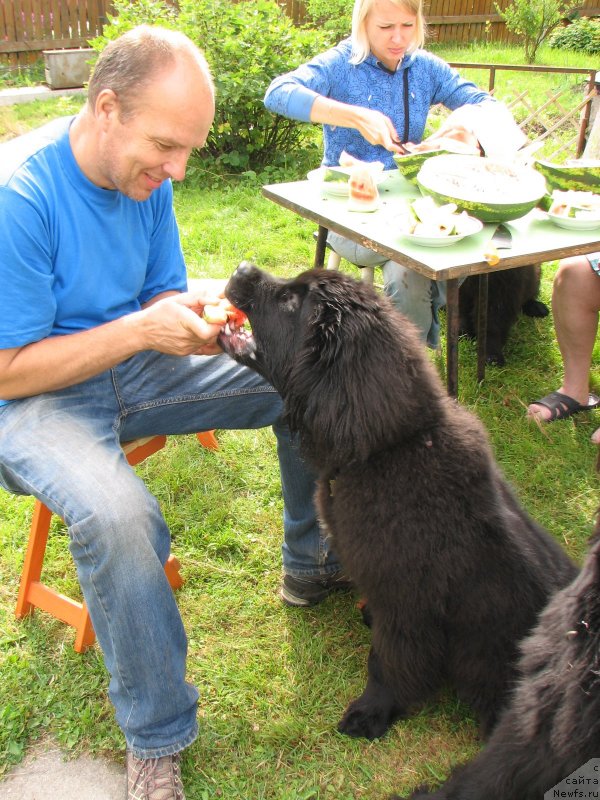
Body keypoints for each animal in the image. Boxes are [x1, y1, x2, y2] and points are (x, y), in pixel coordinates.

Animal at [219, 264, 576, 744]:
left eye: (291, 302)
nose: (243, 269)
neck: (387, 447)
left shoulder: (408, 604)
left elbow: (389, 661)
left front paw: (371, 712)